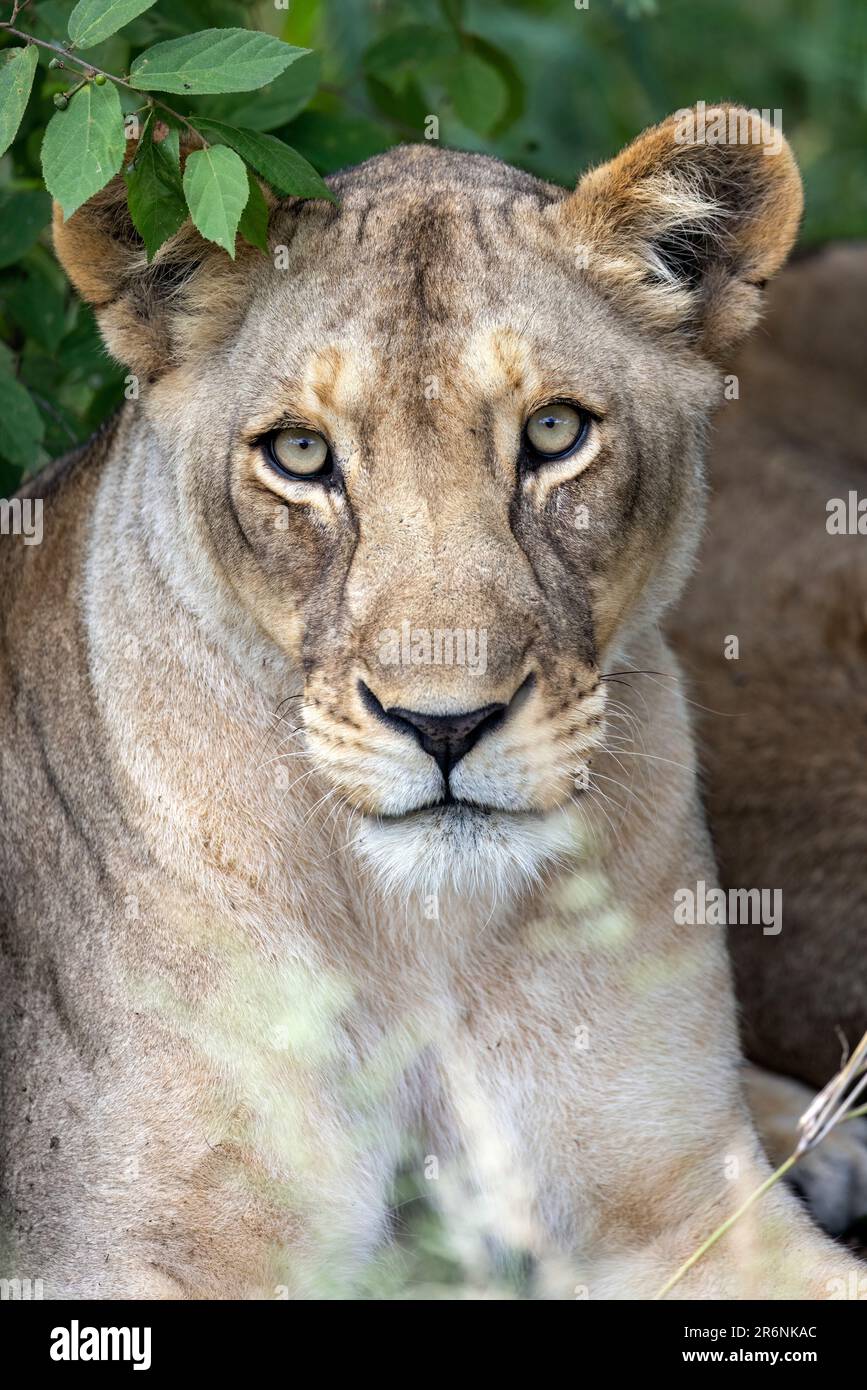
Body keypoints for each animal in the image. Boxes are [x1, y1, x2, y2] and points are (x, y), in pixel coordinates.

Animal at [0, 105, 863, 1298]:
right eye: (300, 453)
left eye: (554, 433)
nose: (445, 724)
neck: (423, 938)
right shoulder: (119, 1252)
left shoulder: (683, 1199)